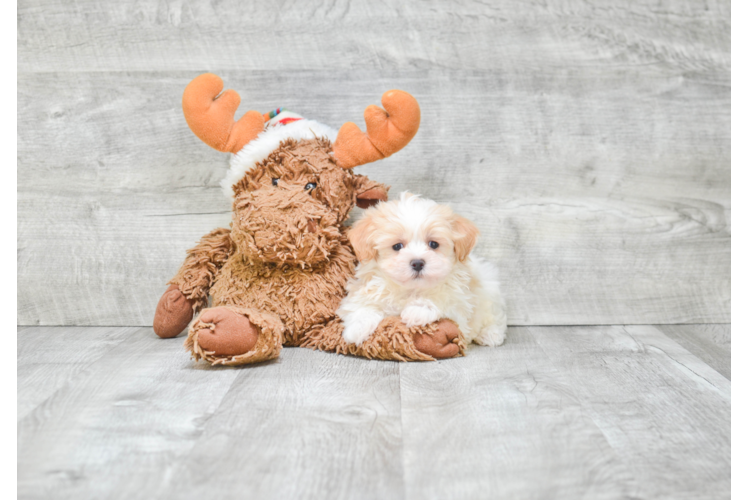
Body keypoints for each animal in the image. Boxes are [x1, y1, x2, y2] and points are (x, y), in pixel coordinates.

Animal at [340, 191, 508, 348]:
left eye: (433, 244)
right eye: (397, 246)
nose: (417, 263)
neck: (411, 290)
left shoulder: (460, 311)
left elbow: (444, 300)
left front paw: (417, 310)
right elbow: (361, 306)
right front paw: (356, 328)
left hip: (489, 290)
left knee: (495, 317)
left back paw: (490, 334)